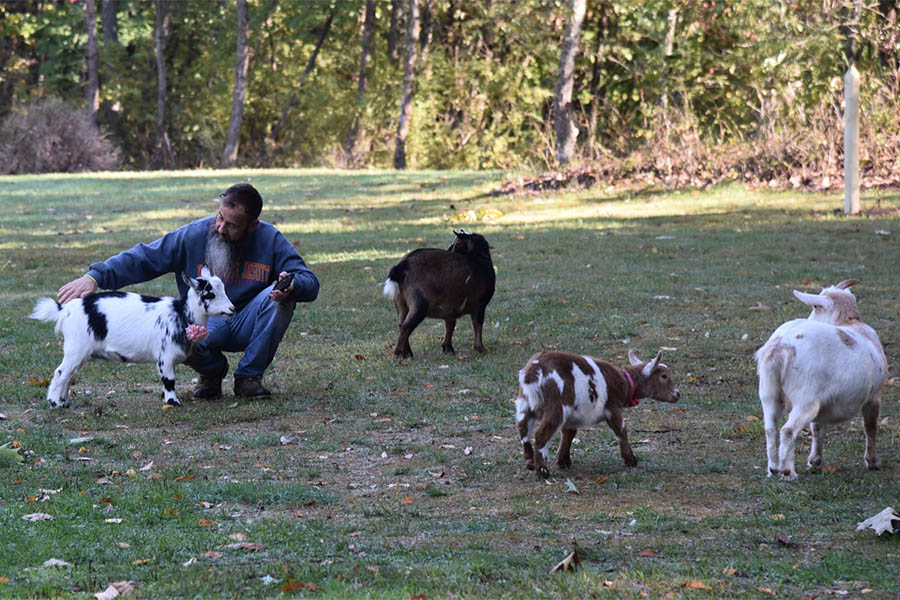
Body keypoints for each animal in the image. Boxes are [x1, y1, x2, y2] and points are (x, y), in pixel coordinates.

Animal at [30, 268, 236, 408]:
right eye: (210, 294)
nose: (232, 308)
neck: (181, 314)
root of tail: (65, 309)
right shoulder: (165, 356)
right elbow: (169, 380)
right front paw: (172, 402)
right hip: (76, 347)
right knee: (60, 372)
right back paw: (55, 402)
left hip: (79, 352)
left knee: (69, 374)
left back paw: (64, 401)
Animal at [512, 350, 684, 476]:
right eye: (664, 376)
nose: (677, 394)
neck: (626, 382)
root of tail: (535, 370)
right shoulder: (612, 407)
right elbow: (621, 430)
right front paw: (631, 460)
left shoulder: (572, 415)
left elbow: (569, 433)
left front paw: (563, 461)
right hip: (557, 406)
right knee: (541, 434)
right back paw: (542, 471)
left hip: (525, 403)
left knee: (523, 428)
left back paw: (530, 462)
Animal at [752, 278, 884, 480]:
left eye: (815, 307)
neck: (850, 323)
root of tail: (781, 347)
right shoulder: (873, 396)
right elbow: (870, 427)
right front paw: (872, 462)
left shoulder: (824, 402)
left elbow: (817, 430)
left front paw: (814, 461)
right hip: (805, 398)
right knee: (787, 430)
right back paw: (788, 471)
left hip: (769, 392)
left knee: (770, 428)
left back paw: (773, 468)